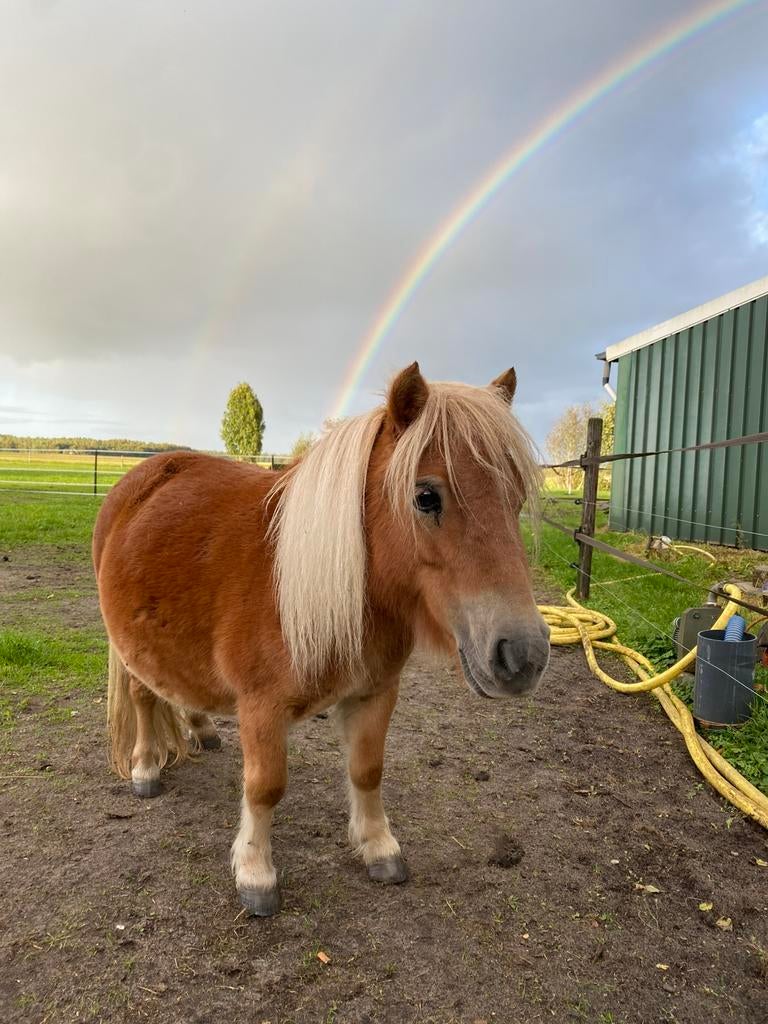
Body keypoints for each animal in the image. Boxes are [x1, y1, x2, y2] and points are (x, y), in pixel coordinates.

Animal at [93, 362, 550, 917]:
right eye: (426, 496)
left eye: (517, 498)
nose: (524, 655)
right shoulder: (261, 708)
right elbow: (265, 787)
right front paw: (256, 873)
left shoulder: (376, 693)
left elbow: (367, 770)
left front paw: (379, 848)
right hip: (128, 651)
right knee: (143, 697)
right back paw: (145, 770)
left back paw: (201, 729)